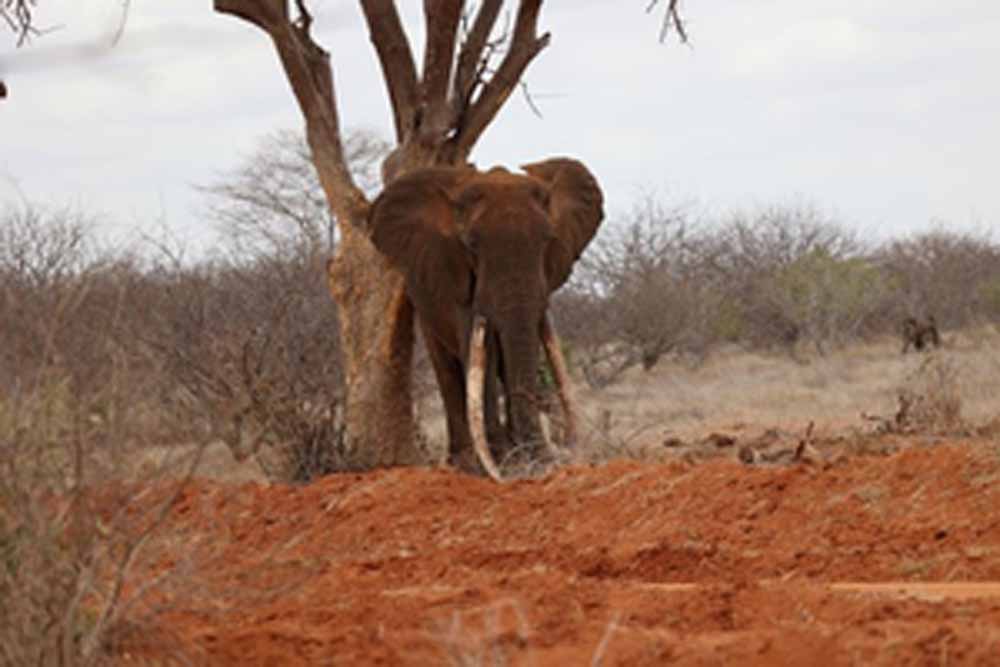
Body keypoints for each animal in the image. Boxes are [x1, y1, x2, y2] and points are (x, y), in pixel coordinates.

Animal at [368, 157, 600, 480]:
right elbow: (477, 353)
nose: (542, 460)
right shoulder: (455, 278)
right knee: (448, 369)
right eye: (471, 245)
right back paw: (464, 464)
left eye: (547, 240)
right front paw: (504, 463)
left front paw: (526, 460)